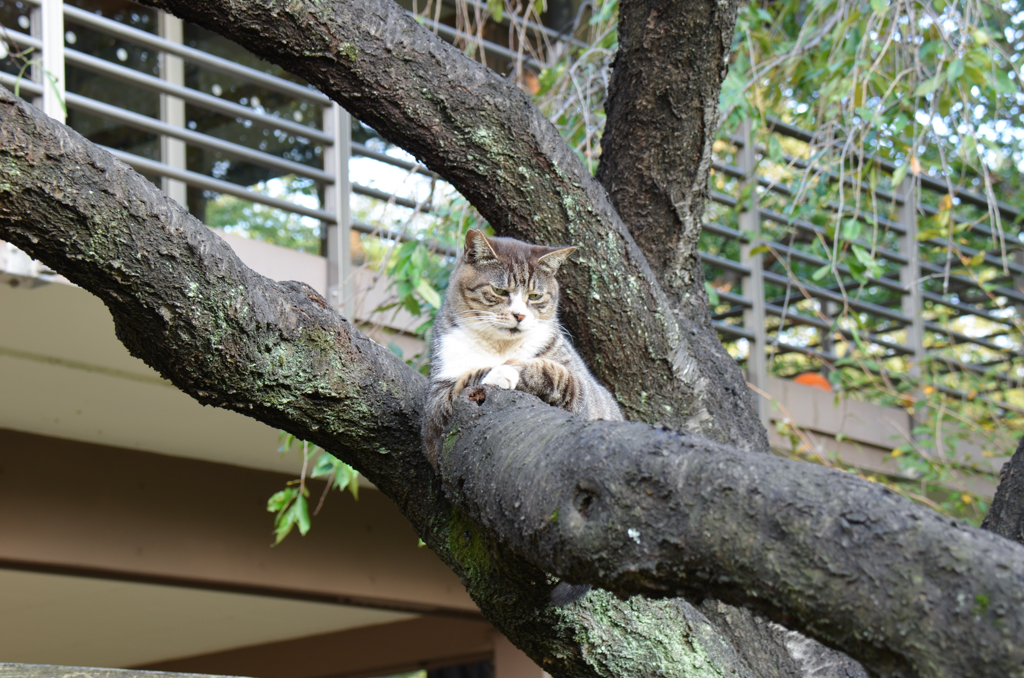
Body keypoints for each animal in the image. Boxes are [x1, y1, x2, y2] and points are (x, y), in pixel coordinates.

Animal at [419, 229, 618, 610]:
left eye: (536, 296)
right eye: (500, 292)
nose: (519, 315)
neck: (500, 347)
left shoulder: (581, 391)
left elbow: (552, 372)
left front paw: (513, 369)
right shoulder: (434, 404)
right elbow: (466, 379)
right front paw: (495, 371)